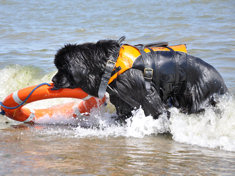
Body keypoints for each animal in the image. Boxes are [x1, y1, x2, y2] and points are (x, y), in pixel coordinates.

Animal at [51, 37, 228, 119]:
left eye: (62, 68)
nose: (53, 80)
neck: (108, 64)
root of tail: (221, 81)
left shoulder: (146, 94)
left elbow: (157, 110)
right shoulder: (121, 98)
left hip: (198, 95)